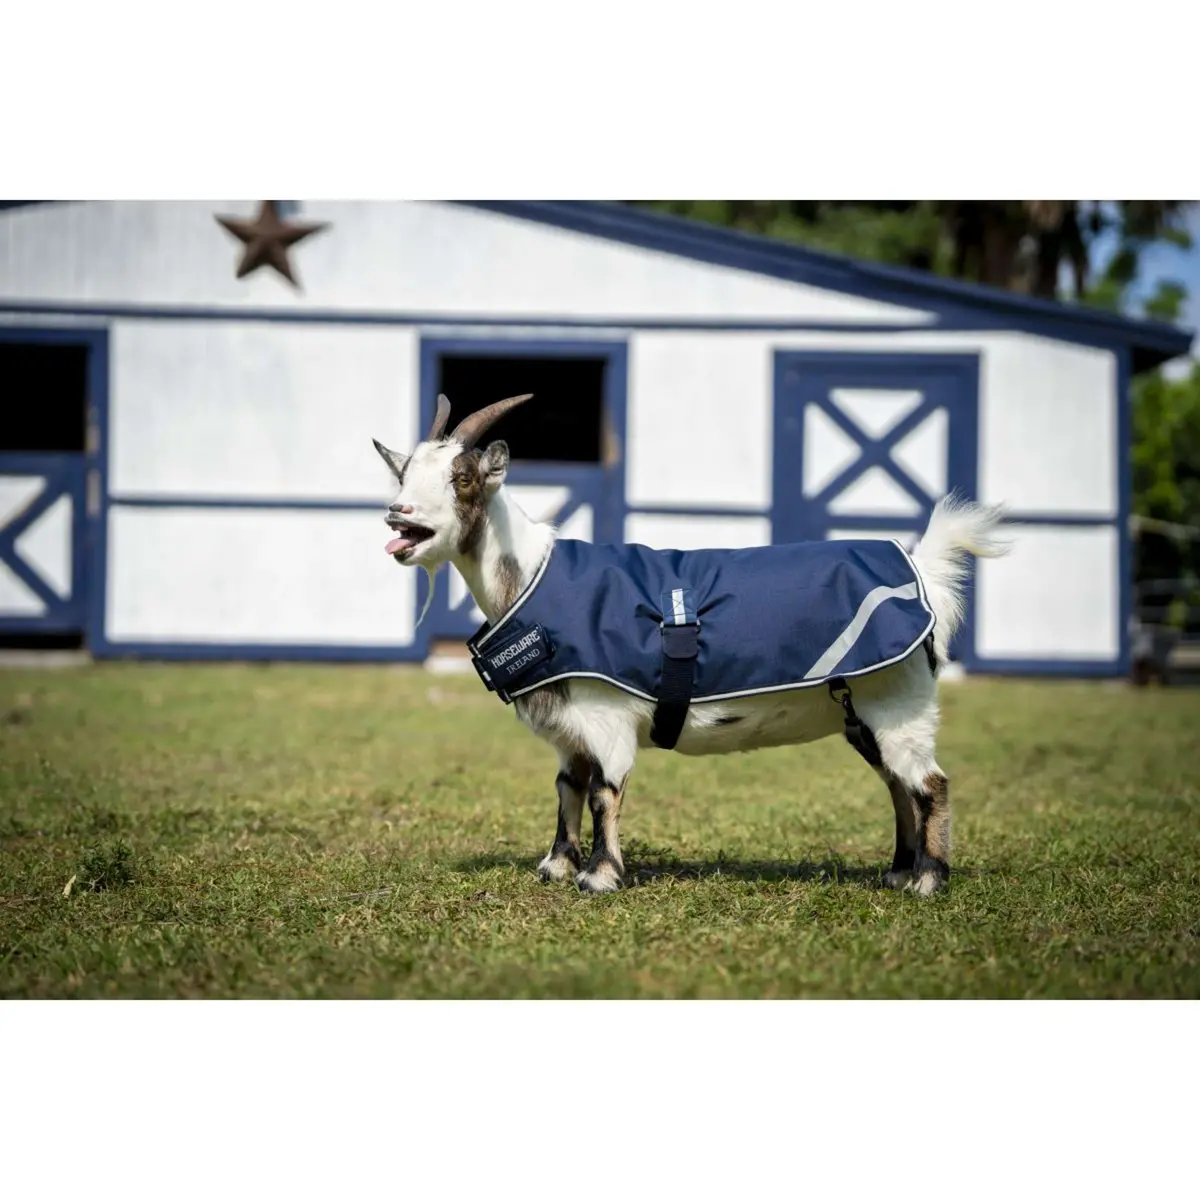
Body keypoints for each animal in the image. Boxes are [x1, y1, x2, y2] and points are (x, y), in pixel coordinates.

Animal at [374, 392, 1009, 896]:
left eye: (461, 479)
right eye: (404, 474)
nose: (397, 515)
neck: (533, 576)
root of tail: (920, 571)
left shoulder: (606, 717)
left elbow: (604, 793)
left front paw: (600, 877)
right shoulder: (569, 731)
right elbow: (567, 789)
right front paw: (555, 866)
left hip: (899, 702)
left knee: (929, 784)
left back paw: (927, 880)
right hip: (865, 715)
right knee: (899, 786)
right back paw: (898, 872)